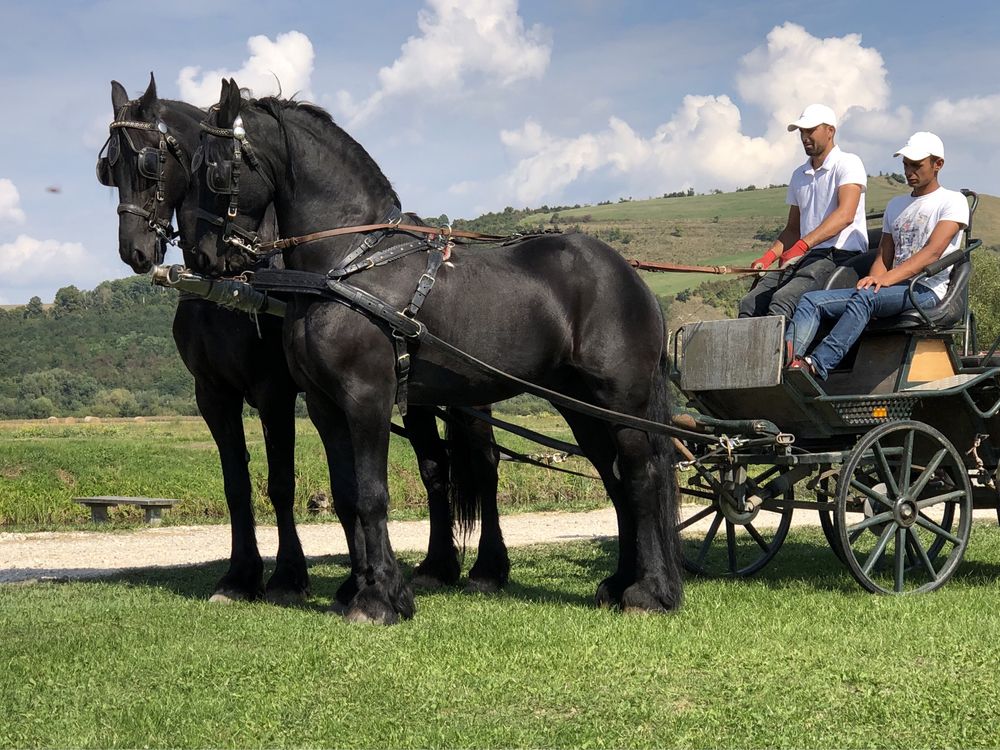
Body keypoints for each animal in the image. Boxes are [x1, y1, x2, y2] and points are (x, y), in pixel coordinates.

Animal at [97, 75, 504, 604]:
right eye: (108, 169)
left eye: (150, 161)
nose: (135, 251)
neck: (233, 285)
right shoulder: (213, 394)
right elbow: (238, 485)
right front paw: (240, 575)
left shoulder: (275, 390)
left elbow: (281, 483)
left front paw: (288, 576)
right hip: (414, 395)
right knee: (435, 468)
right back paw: (437, 565)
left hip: (467, 396)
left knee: (485, 464)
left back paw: (488, 567)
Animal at [182, 79, 680, 624]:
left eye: (213, 170)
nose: (204, 257)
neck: (350, 264)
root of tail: (629, 275)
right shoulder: (323, 405)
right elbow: (346, 494)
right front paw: (364, 589)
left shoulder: (368, 398)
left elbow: (373, 496)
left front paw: (379, 600)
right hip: (579, 405)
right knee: (614, 479)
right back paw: (620, 582)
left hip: (622, 401)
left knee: (642, 477)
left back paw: (650, 591)